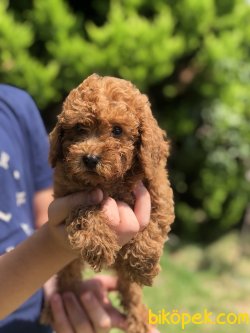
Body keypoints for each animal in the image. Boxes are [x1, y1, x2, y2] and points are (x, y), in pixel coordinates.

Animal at [47, 74, 175, 330]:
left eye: (117, 130)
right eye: (79, 128)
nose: (89, 159)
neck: (111, 181)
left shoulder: (159, 188)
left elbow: (155, 222)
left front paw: (143, 264)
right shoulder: (69, 194)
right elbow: (86, 208)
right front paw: (98, 243)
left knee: (130, 290)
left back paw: (139, 319)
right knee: (67, 276)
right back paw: (64, 299)